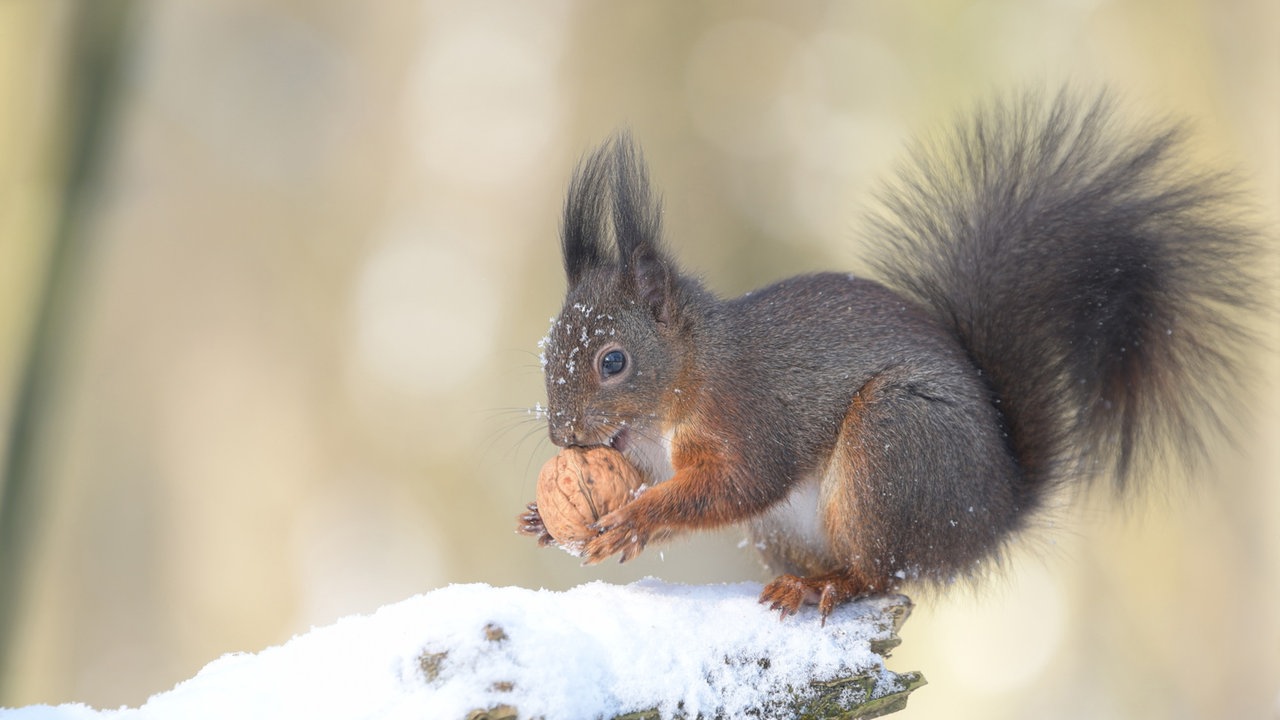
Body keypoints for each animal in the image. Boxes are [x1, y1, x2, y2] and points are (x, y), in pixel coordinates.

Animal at [517, 90, 1259, 619]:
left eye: (613, 361)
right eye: (549, 349)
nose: (563, 435)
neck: (692, 377)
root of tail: (990, 515)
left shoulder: (751, 416)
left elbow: (738, 483)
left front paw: (633, 521)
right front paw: (544, 522)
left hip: (891, 449)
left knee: (880, 574)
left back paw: (831, 586)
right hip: (790, 526)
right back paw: (804, 580)